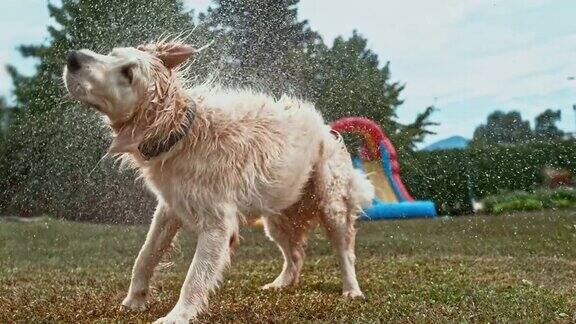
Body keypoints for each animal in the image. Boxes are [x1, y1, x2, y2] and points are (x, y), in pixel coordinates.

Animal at [62, 41, 374, 322]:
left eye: (128, 73)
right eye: (111, 53)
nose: (72, 57)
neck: (181, 133)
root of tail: (326, 128)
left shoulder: (217, 225)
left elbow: (195, 277)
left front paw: (177, 316)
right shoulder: (169, 207)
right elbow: (146, 255)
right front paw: (133, 301)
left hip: (330, 204)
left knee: (345, 253)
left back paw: (352, 290)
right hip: (277, 216)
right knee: (296, 255)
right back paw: (279, 284)